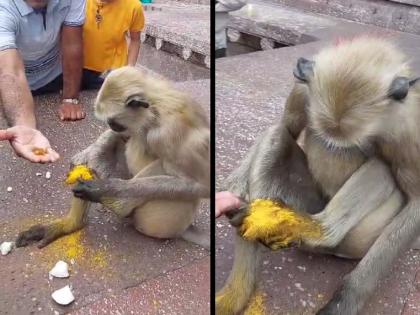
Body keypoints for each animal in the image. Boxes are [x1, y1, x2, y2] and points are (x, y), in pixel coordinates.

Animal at [16, 67, 210, 252]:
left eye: (114, 123)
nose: (113, 128)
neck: (156, 108)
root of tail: (184, 227)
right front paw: (87, 155)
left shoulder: (169, 132)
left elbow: (201, 186)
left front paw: (107, 189)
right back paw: (71, 224)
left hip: (164, 219)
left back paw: (116, 204)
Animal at [217, 37, 420, 315]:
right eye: (327, 141)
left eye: (356, 145)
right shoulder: (302, 89)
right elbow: (287, 129)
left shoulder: (407, 122)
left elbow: (416, 200)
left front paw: (346, 300)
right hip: (308, 203)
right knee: (278, 135)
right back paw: (240, 286)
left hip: (361, 237)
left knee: (382, 166)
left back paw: (320, 233)